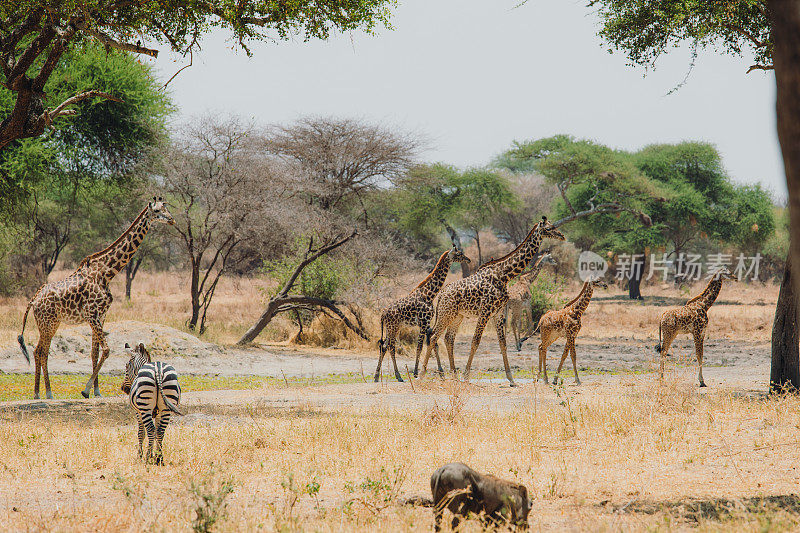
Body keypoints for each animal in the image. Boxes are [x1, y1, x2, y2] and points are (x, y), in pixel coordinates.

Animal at [18, 200, 173, 400]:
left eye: (167, 208)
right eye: (157, 210)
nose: (171, 219)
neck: (106, 273)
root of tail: (33, 300)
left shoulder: (101, 315)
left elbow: (95, 352)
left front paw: (97, 392)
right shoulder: (91, 314)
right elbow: (106, 350)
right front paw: (86, 390)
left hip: (52, 323)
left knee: (40, 351)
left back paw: (41, 393)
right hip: (47, 323)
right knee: (41, 352)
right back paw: (45, 394)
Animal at [374, 247, 468, 380]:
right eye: (459, 254)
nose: (468, 259)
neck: (429, 294)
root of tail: (383, 314)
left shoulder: (427, 323)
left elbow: (434, 344)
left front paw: (441, 372)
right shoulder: (423, 322)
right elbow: (419, 347)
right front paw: (416, 372)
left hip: (391, 328)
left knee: (384, 346)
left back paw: (377, 376)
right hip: (393, 327)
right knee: (391, 347)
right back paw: (398, 376)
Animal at [418, 216, 564, 386]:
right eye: (549, 228)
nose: (561, 235)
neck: (504, 275)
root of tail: (441, 295)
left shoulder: (498, 312)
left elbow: (503, 343)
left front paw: (511, 379)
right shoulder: (486, 311)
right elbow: (475, 341)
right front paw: (466, 376)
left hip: (457, 316)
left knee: (448, 338)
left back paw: (453, 375)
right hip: (445, 314)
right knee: (433, 336)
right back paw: (423, 374)